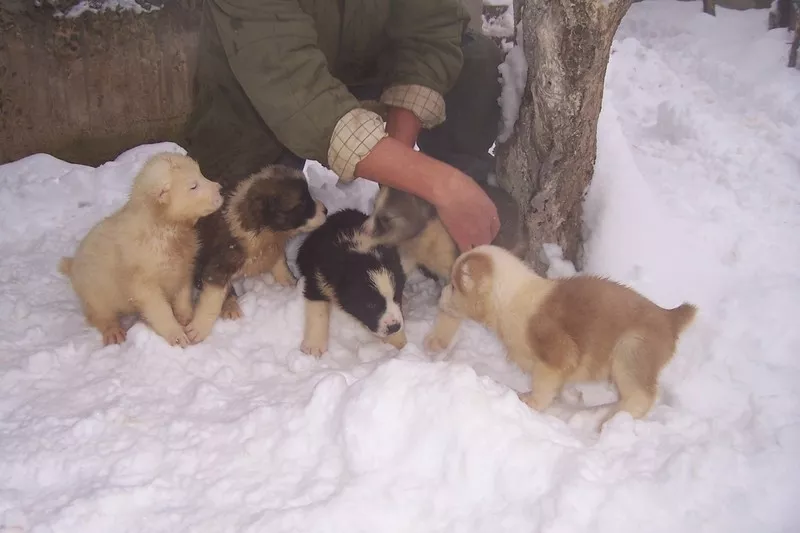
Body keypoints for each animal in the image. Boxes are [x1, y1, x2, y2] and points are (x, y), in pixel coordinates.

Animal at [58, 152, 223, 348]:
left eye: (201, 174)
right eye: (193, 186)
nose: (220, 189)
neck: (163, 227)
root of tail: (73, 265)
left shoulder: (183, 265)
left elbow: (182, 291)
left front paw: (186, 318)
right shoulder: (142, 278)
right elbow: (158, 308)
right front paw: (176, 335)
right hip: (94, 291)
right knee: (99, 314)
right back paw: (113, 331)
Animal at [186, 164, 326, 342]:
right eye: (301, 204)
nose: (326, 210)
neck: (266, 232)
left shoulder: (274, 248)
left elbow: (280, 264)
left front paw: (290, 283)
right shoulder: (220, 264)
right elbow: (212, 300)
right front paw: (198, 328)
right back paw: (230, 306)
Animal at [294, 208, 406, 358]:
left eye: (396, 297)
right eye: (371, 305)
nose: (394, 327)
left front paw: (399, 341)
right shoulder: (317, 280)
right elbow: (318, 312)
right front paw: (314, 346)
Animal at [422, 245, 696, 428]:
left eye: (454, 286)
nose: (439, 296)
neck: (511, 298)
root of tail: (669, 317)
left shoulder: (556, 355)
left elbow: (543, 385)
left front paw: (531, 402)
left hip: (630, 351)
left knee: (642, 396)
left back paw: (611, 421)